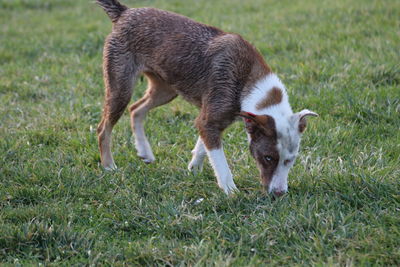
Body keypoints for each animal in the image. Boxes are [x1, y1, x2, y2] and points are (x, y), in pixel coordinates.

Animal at [95, 0, 318, 197]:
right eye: (268, 158)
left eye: (291, 160)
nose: (279, 194)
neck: (248, 80)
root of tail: (124, 12)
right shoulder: (210, 119)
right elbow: (220, 162)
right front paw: (231, 191)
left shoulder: (211, 119)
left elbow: (204, 146)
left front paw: (194, 168)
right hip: (121, 87)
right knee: (103, 128)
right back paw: (109, 166)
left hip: (165, 90)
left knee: (136, 109)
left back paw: (144, 152)